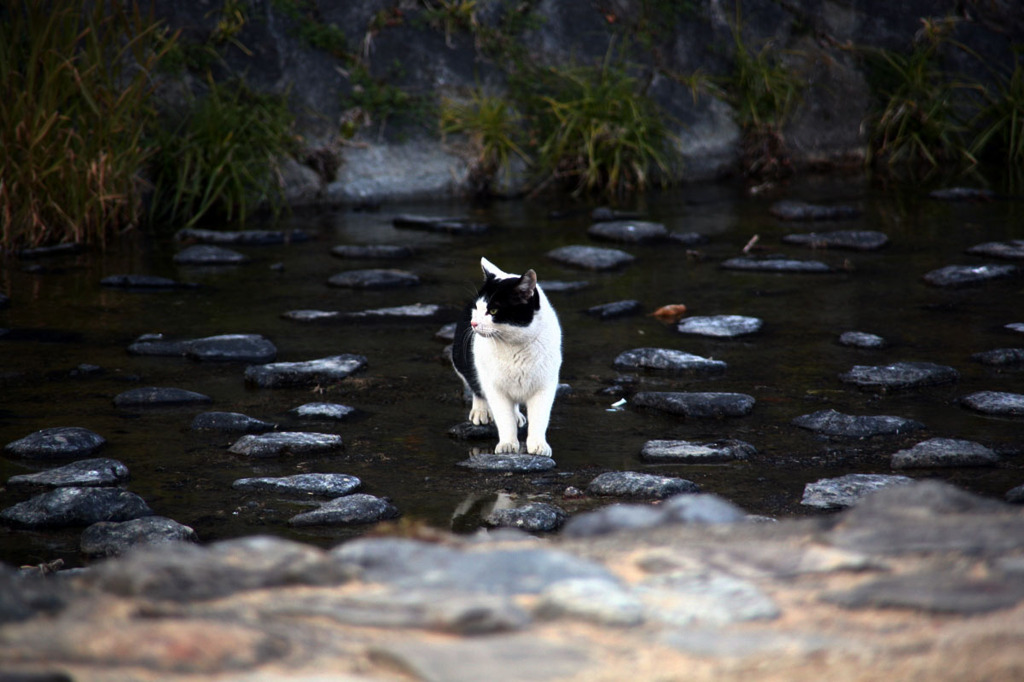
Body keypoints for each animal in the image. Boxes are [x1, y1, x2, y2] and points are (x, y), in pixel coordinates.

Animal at [454, 258, 565, 454]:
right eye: (477, 308)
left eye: (493, 311)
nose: (473, 323)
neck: (515, 346)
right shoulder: (494, 387)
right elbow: (503, 417)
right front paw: (507, 445)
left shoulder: (545, 385)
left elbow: (540, 417)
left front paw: (538, 445)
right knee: (476, 388)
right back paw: (482, 411)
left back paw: (517, 415)